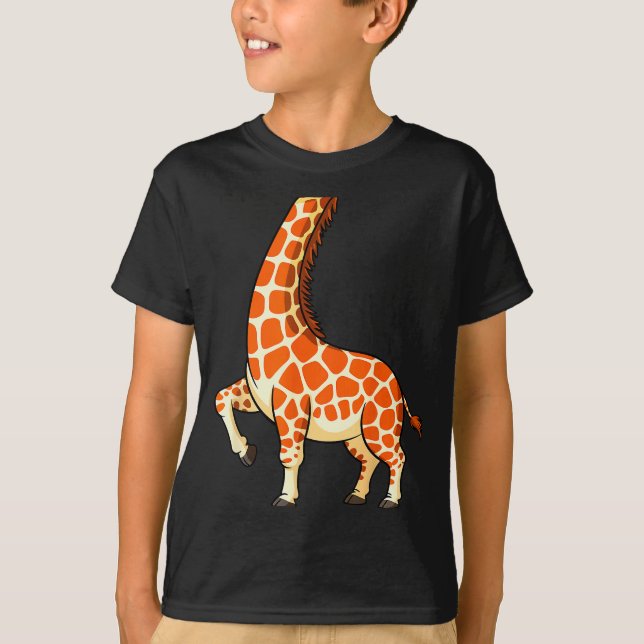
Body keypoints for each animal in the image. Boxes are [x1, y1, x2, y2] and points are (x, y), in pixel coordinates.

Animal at [215, 197, 422, 509]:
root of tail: (397, 385)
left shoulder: (291, 403)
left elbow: (290, 454)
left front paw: (286, 498)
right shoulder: (259, 397)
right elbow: (221, 398)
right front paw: (246, 451)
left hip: (380, 424)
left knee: (396, 456)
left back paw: (390, 500)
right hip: (354, 433)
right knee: (369, 459)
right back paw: (356, 495)